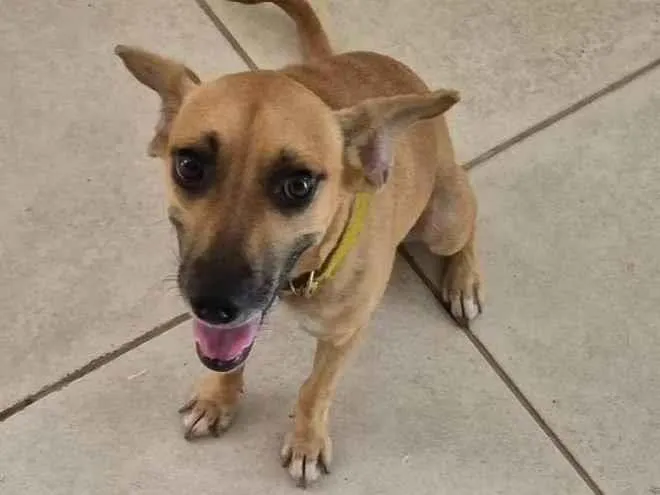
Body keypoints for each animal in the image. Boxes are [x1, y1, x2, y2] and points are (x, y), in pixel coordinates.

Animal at [115, 0, 482, 487]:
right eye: (189, 165)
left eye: (299, 186)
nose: (212, 304)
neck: (303, 275)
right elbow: (232, 357)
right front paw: (218, 398)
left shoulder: (344, 335)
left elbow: (315, 389)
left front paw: (307, 440)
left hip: (444, 219)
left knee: (469, 220)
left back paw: (463, 280)